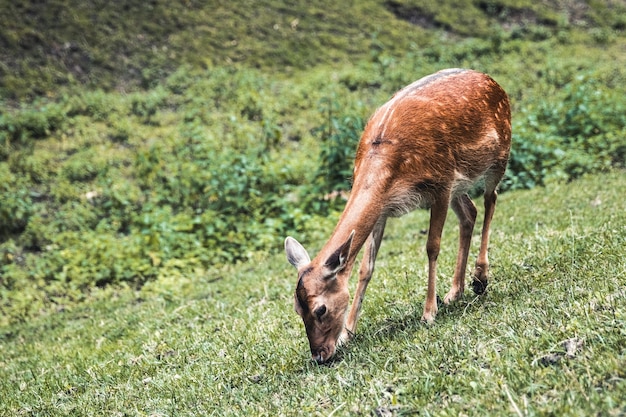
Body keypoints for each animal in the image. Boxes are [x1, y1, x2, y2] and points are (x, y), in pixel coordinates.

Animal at [286, 68, 510, 360]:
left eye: (320, 309)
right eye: (296, 309)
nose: (319, 356)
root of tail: (492, 81)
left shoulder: (441, 183)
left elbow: (432, 246)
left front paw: (428, 313)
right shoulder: (383, 208)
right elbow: (366, 268)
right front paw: (348, 334)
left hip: (499, 154)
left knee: (490, 200)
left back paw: (480, 278)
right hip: (460, 184)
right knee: (469, 213)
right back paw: (455, 291)